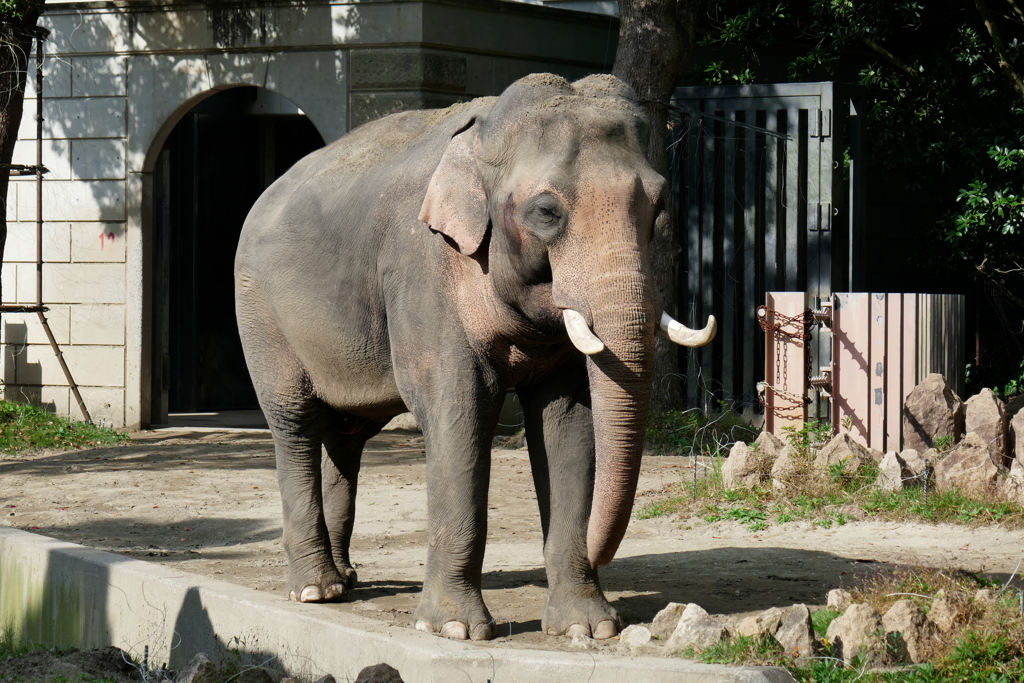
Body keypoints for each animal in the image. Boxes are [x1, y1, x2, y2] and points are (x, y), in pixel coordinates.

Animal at [234, 72, 712, 643]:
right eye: (546, 211)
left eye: (658, 206)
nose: (601, 554)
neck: (481, 140)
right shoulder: (423, 267)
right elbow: (459, 407)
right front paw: (455, 630)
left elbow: (568, 421)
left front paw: (587, 628)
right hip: (259, 310)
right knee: (295, 421)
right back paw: (315, 590)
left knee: (346, 434)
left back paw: (346, 579)